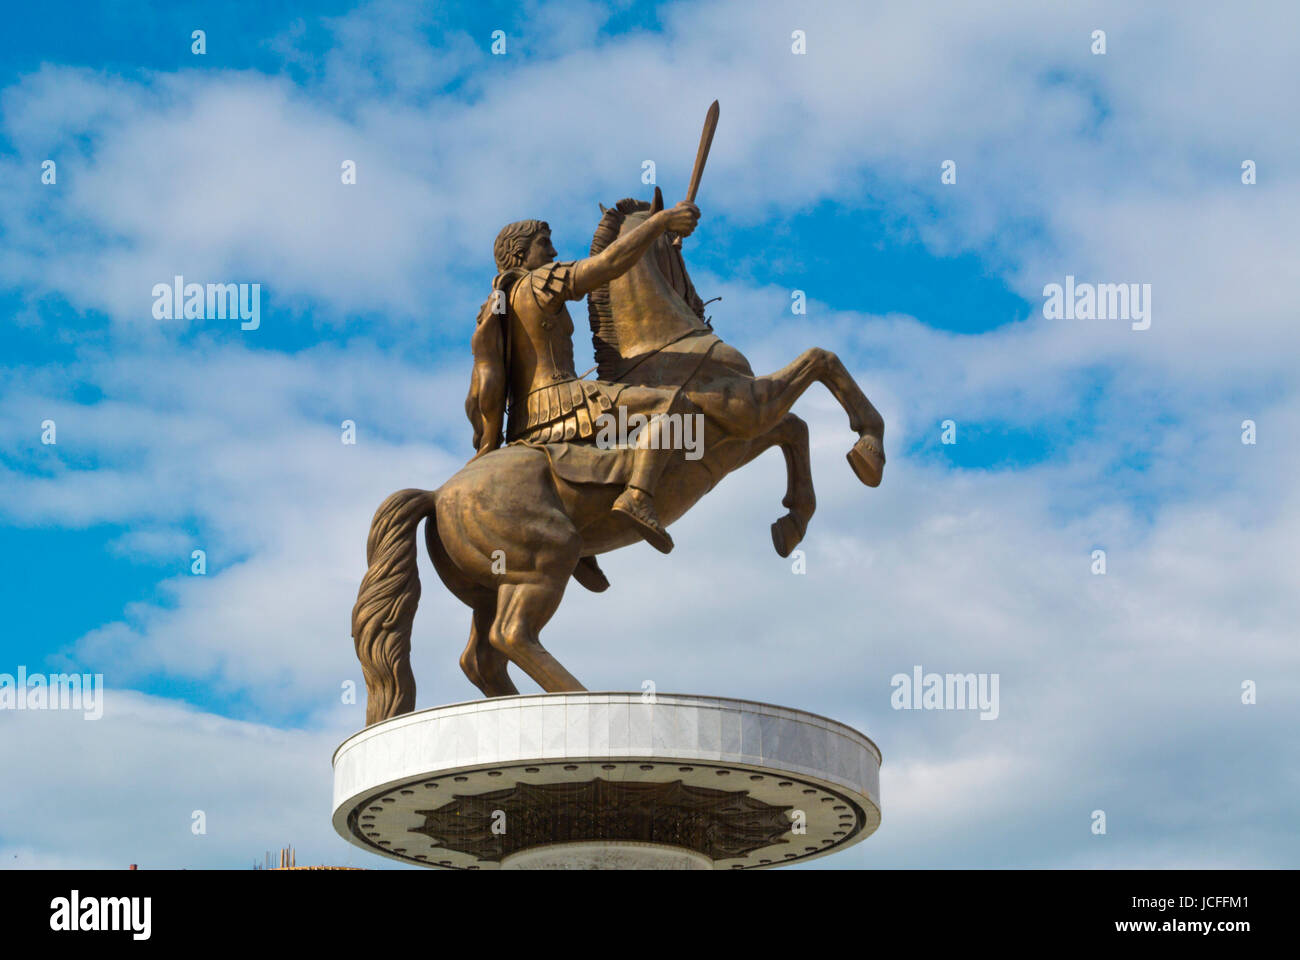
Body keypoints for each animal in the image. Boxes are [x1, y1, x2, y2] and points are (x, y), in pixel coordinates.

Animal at [351, 191, 889, 723]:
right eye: (678, 252)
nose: (701, 303)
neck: (664, 345)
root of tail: (438, 494)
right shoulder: (747, 406)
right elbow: (821, 361)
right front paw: (869, 452)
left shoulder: (740, 436)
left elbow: (797, 429)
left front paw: (792, 522)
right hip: (546, 559)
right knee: (511, 634)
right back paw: (580, 695)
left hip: (489, 585)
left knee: (480, 657)